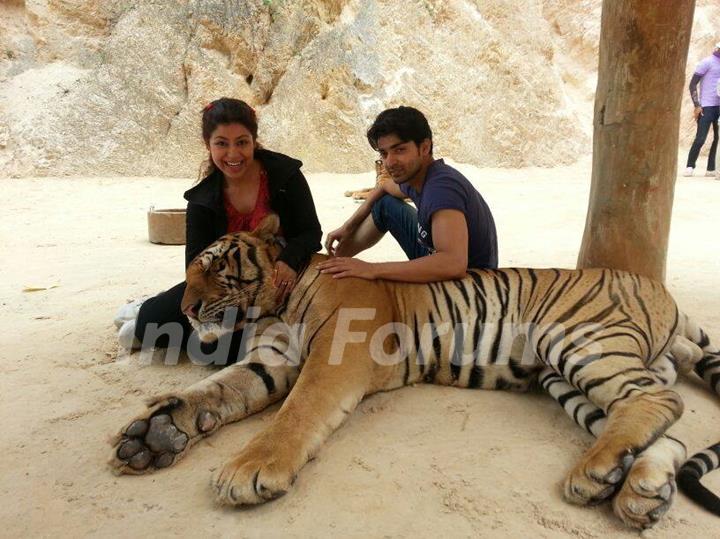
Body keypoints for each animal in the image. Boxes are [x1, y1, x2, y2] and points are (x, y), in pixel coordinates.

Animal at [109, 213, 720, 528]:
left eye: (214, 268)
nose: (187, 308)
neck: (275, 303)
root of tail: (662, 292)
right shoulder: (271, 360)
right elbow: (215, 390)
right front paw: (153, 434)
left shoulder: (335, 357)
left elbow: (296, 412)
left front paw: (249, 469)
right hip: (561, 376)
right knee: (663, 428)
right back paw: (638, 491)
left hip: (578, 338)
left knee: (659, 402)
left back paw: (593, 475)